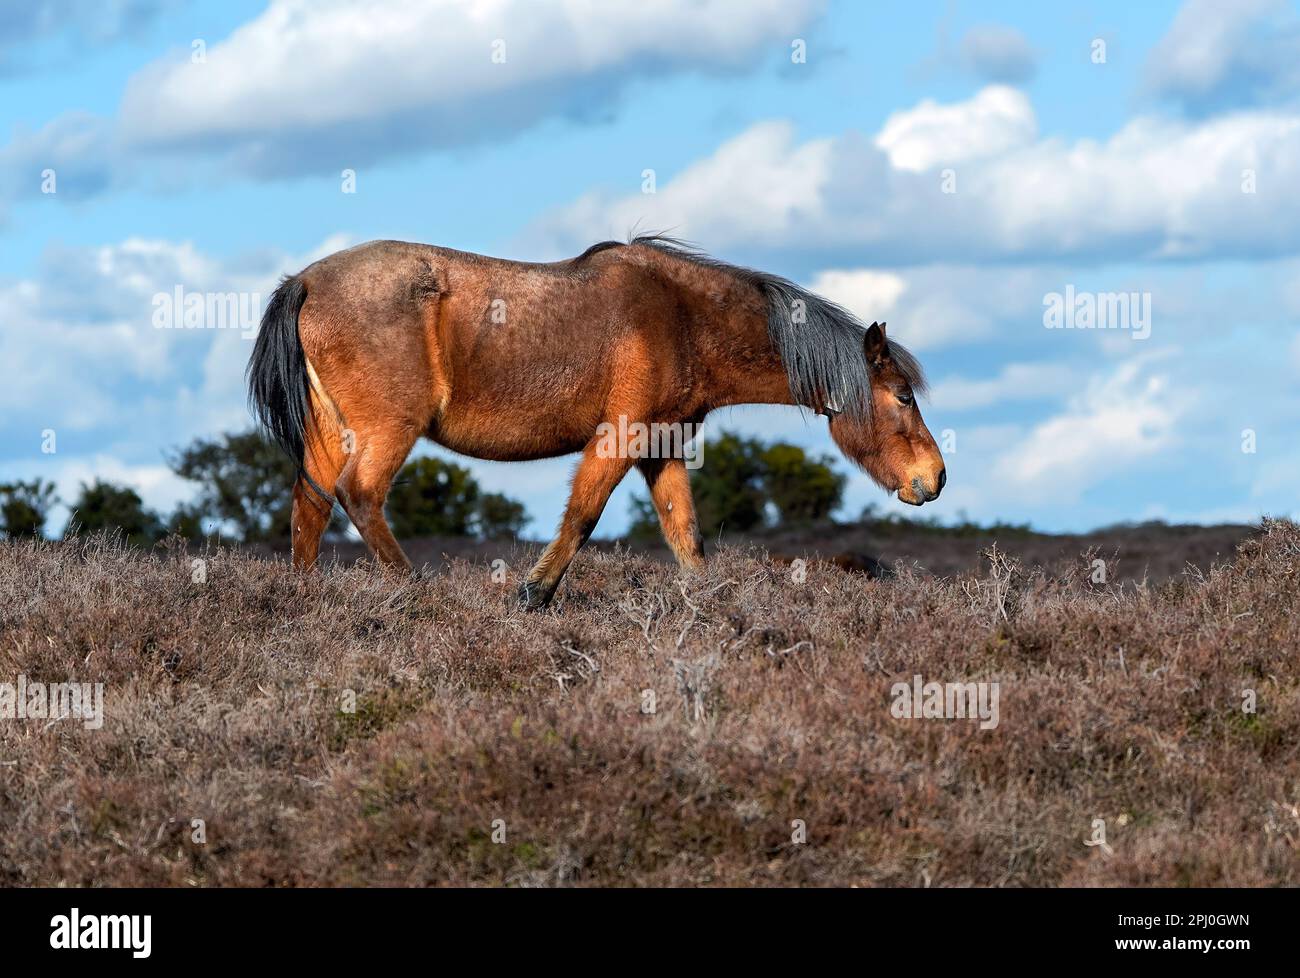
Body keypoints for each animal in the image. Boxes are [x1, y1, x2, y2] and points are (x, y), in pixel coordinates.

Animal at [247, 235, 945, 608]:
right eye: (902, 397)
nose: (934, 478)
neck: (681, 314)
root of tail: (305, 282)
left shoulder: (662, 445)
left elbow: (685, 535)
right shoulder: (621, 435)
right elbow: (583, 516)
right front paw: (532, 595)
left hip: (330, 432)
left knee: (311, 505)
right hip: (388, 430)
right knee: (359, 495)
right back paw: (414, 591)